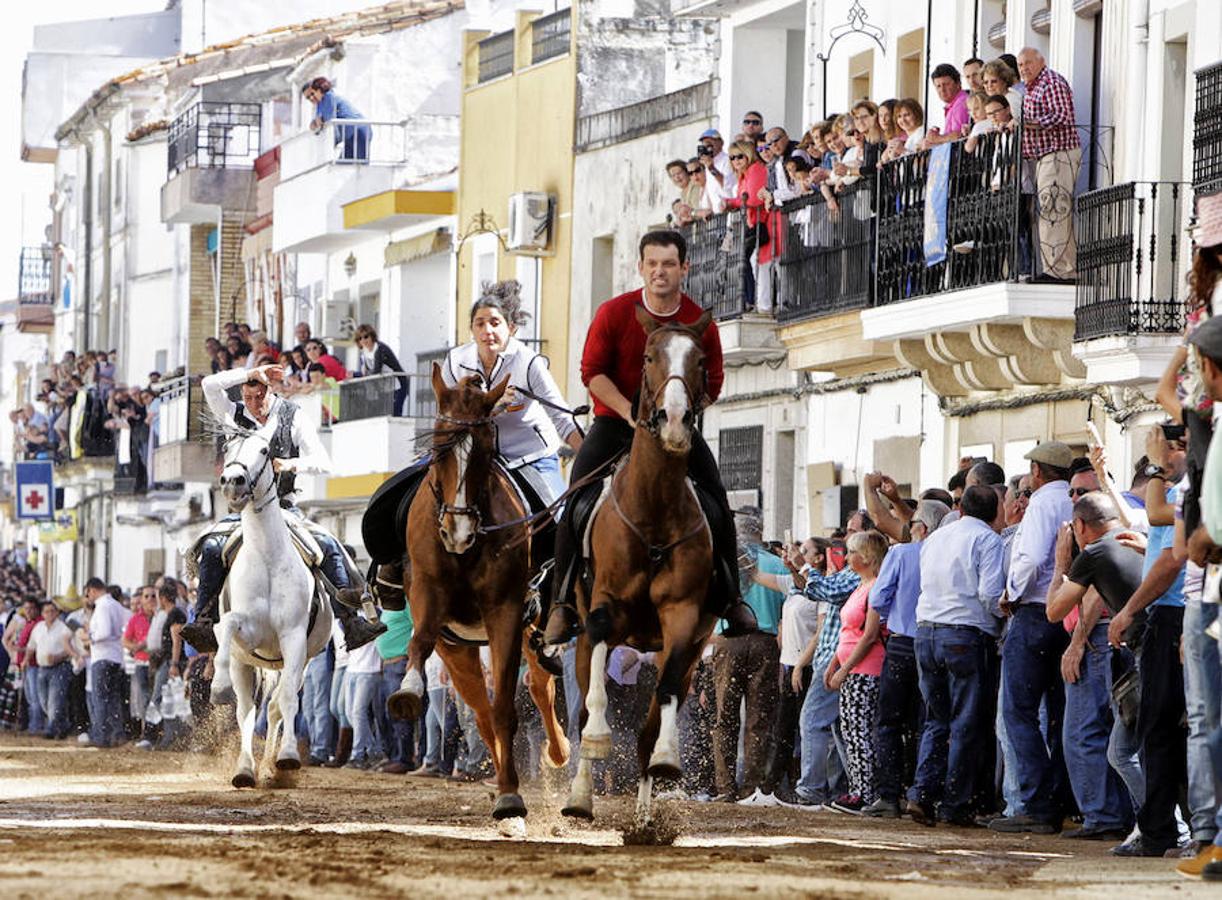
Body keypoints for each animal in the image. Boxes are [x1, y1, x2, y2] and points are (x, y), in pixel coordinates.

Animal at [208, 430, 332, 787]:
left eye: (265, 450)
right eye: (227, 447)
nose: (232, 481)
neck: (266, 558)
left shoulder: (293, 638)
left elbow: (287, 699)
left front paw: (288, 755)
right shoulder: (247, 635)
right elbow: (227, 624)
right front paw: (218, 686)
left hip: (301, 662)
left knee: (277, 705)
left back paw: (271, 764)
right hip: (247, 664)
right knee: (247, 711)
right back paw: (245, 770)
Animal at [383, 361, 569, 816]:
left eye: (484, 450)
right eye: (438, 448)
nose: (458, 531)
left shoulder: (505, 612)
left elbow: (506, 705)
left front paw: (511, 795)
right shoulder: (428, 598)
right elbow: (418, 644)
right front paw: (408, 690)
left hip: (530, 630)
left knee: (538, 688)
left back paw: (556, 754)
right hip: (458, 649)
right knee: (481, 714)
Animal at [564, 305, 723, 826]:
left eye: (700, 361)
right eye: (650, 356)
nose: (673, 419)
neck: (653, 510)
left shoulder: (683, 618)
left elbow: (666, 695)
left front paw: (668, 759)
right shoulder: (604, 610)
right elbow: (594, 703)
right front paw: (597, 740)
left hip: (690, 656)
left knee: (649, 727)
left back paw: (644, 818)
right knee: (580, 713)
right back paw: (579, 798)